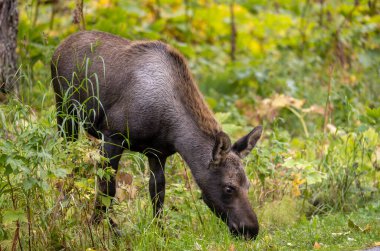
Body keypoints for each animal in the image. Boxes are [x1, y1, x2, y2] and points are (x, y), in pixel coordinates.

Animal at [52, 31, 262, 239]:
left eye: (248, 186)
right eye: (229, 187)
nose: (251, 229)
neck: (173, 131)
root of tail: (60, 46)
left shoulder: (157, 153)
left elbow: (157, 195)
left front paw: (160, 233)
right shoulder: (112, 135)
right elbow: (107, 190)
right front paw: (97, 230)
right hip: (65, 111)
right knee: (65, 159)